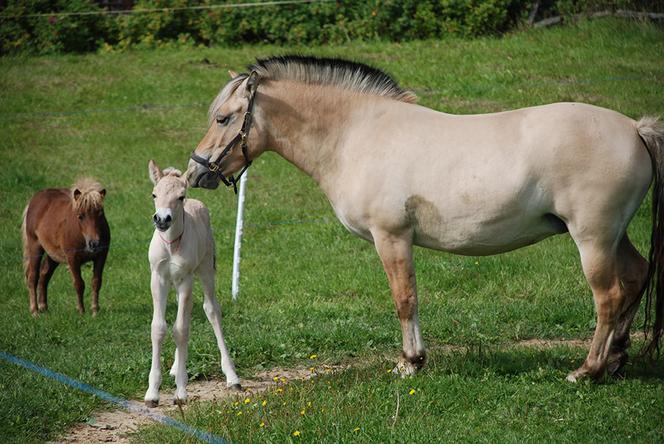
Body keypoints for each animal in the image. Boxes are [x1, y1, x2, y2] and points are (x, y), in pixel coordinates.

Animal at [21, 178, 110, 316]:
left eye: (101, 214)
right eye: (80, 216)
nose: (94, 243)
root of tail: (34, 199)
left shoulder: (101, 256)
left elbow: (96, 282)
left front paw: (95, 311)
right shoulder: (72, 258)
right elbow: (79, 284)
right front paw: (81, 311)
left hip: (53, 255)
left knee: (44, 274)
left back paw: (43, 307)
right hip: (35, 247)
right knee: (33, 276)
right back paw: (35, 311)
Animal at [185, 55, 664, 382]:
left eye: (223, 118)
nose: (195, 172)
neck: (356, 134)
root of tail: (635, 129)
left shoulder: (392, 237)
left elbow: (405, 298)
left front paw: (410, 363)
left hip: (592, 238)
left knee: (608, 295)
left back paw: (588, 370)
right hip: (613, 236)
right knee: (636, 277)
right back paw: (617, 358)